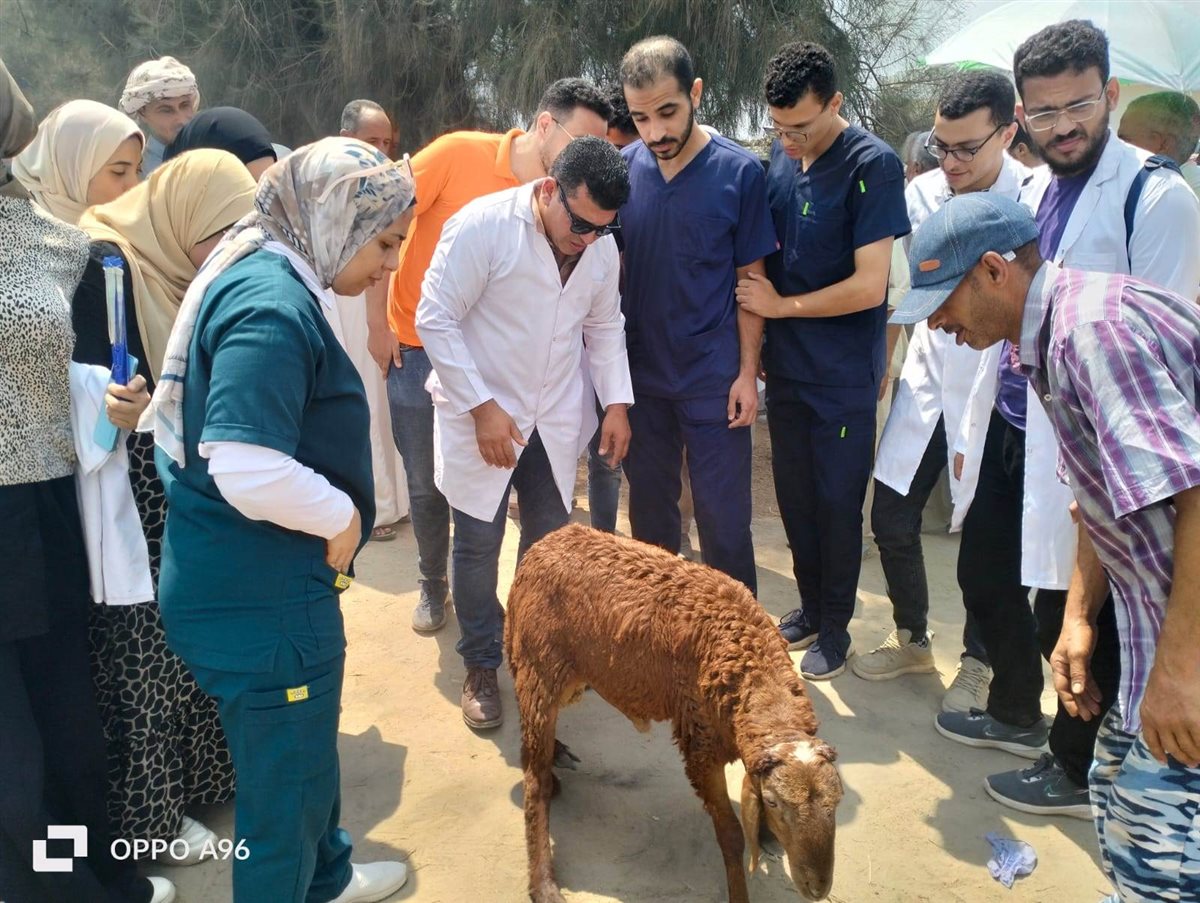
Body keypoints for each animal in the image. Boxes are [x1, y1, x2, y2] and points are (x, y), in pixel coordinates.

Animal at [505, 524, 844, 903]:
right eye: (773, 803)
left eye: (837, 803)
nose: (817, 887)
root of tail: (546, 542)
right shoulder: (700, 744)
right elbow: (731, 835)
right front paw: (739, 891)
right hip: (539, 666)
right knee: (534, 781)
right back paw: (544, 883)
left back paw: (556, 755)